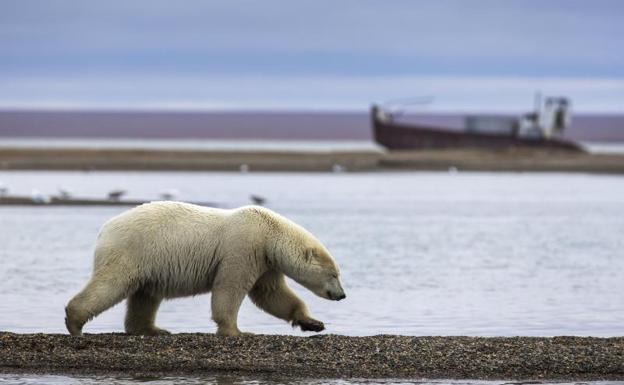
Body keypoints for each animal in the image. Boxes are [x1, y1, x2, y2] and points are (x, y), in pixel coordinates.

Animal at [64, 202, 346, 334]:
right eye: (334, 274)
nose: (342, 295)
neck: (270, 234)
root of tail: (105, 228)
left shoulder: (266, 261)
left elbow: (272, 294)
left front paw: (313, 323)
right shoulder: (244, 247)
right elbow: (230, 287)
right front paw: (235, 331)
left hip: (148, 261)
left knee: (145, 295)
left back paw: (153, 330)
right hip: (132, 249)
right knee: (111, 283)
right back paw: (74, 321)